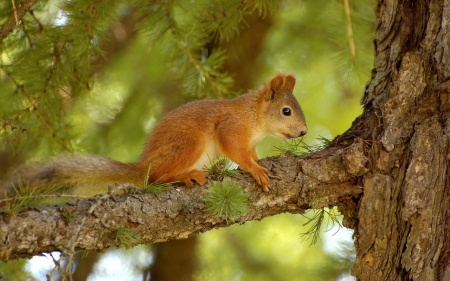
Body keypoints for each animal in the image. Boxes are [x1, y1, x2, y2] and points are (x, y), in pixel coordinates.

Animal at [0, 74, 306, 197]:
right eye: (286, 111)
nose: (304, 131)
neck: (255, 118)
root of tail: (143, 165)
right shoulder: (231, 126)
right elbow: (237, 151)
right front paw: (256, 169)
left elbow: (250, 152)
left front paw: (259, 160)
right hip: (188, 143)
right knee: (157, 177)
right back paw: (185, 176)